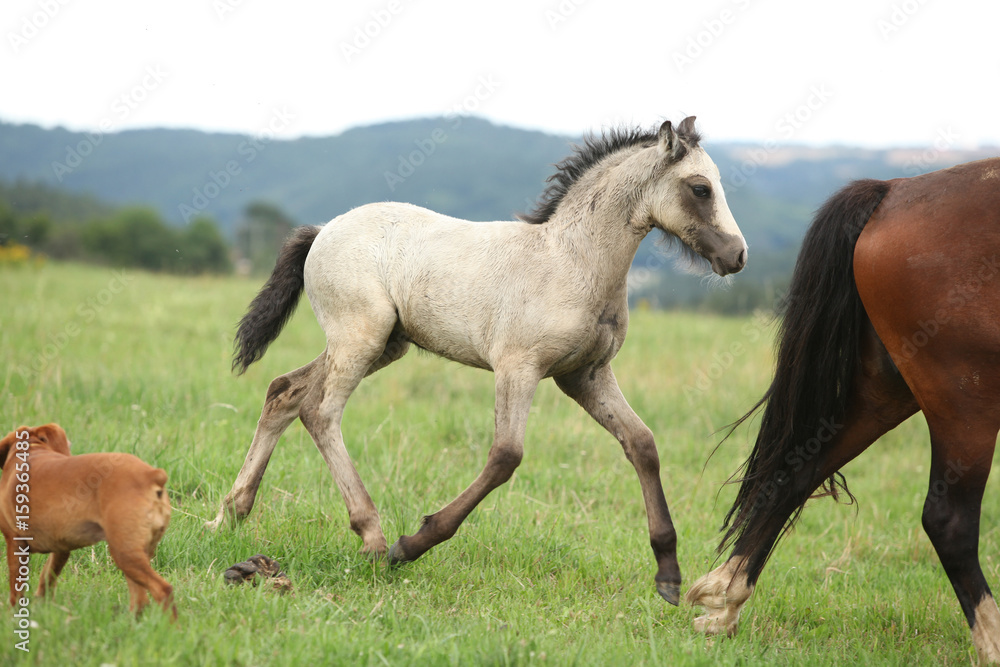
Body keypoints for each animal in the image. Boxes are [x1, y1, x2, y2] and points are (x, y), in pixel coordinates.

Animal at [0, 426, 176, 620]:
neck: (33, 450)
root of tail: (150, 475)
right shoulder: (61, 549)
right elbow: (47, 576)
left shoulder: (15, 543)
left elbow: (16, 588)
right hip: (135, 555)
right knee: (141, 600)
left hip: (125, 554)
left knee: (163, 590)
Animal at [688, 158, 1000, 664]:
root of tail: (893, 190)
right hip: (965, 399)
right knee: (948, 520)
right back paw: (992, 644)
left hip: (888, 392)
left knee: (795, 472)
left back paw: (725, 600)